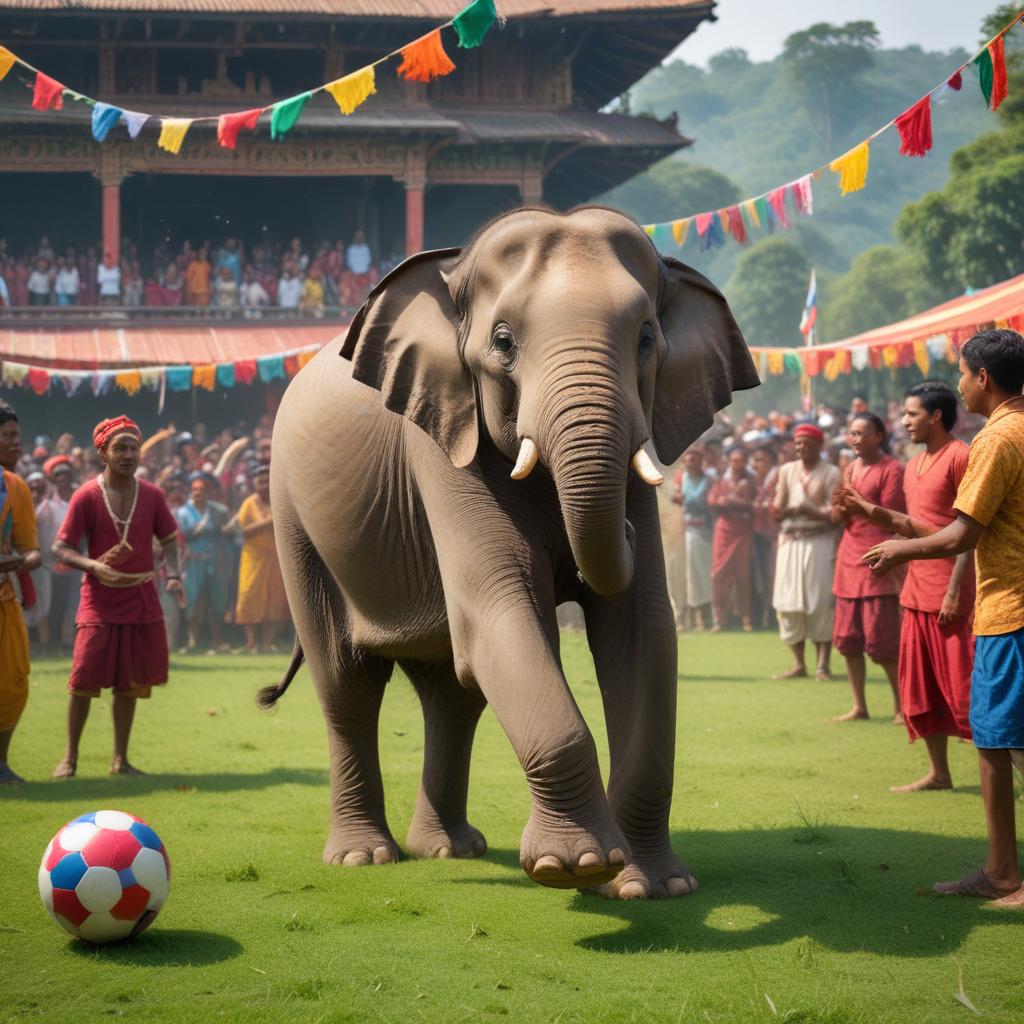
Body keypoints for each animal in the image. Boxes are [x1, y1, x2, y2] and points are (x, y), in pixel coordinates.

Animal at [262, 205, 759, 898]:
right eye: (502, 341)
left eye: (645, 338)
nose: (636, 532)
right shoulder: (441, 441)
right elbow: (505, 604)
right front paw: (574, 867)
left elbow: (644, 627)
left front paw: (652, 887)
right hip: (293, 517)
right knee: (348, 684)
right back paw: (364, 857)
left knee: (452, 692)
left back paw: (450, 850)